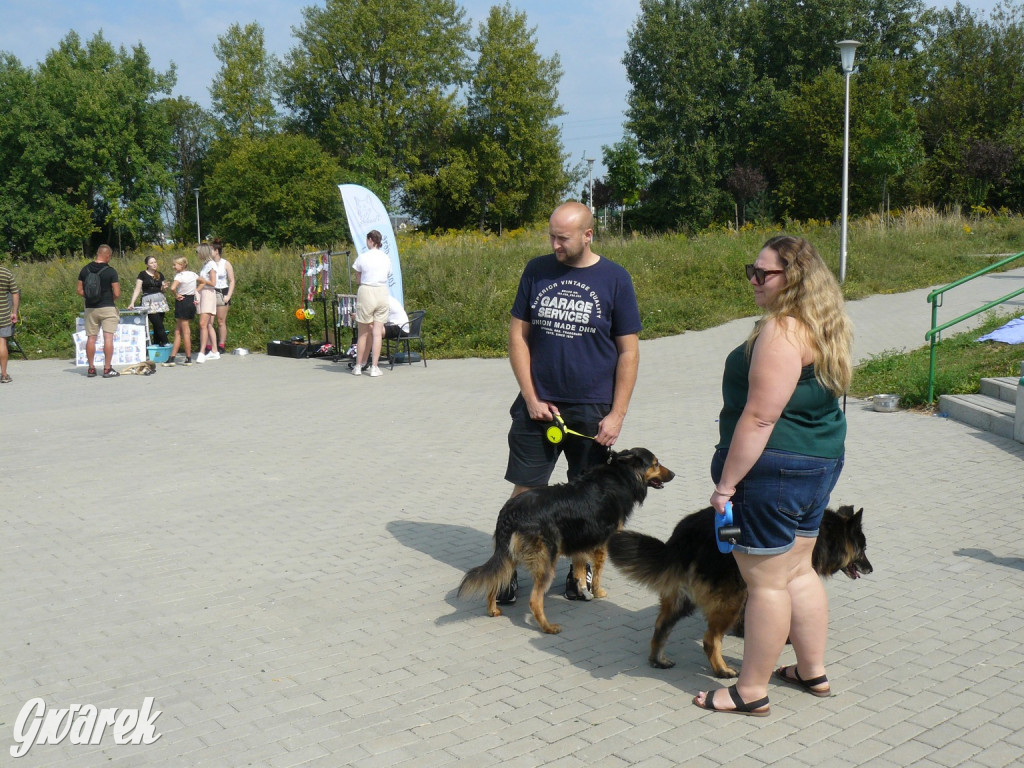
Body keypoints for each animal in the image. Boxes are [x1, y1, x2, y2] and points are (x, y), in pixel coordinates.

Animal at [460, 448, 675, 634]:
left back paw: (493, 610)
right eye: (656, 463)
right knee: (534, 600)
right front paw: (597, 592)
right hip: (545, 560)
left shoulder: (581, 540)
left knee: (496, 580)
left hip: (508, 553)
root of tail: (511, 511)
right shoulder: (602, 542)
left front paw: (581, 589)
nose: (673, 474)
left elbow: (579, 567)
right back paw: (548, 627)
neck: (622, 474)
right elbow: (598, 571)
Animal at [606, 507, 872, 675]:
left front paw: (745, 631)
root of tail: (685, 536)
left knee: (661, 626)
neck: (828, 537)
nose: (871, 569)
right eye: (863, 548)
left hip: (684, 598)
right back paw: (722, 670)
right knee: (710, 640)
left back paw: (658, 659)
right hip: (731, 598)